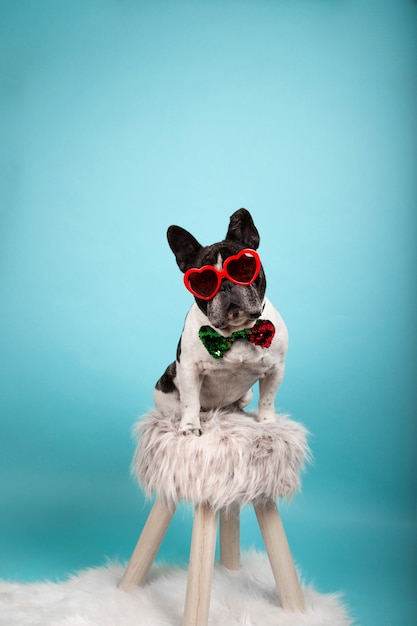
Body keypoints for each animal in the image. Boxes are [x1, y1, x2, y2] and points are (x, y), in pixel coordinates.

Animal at [154, 207, 288, 432]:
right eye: (202, 282)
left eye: (243, 268)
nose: (225, 284)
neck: (237, 330)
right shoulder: (189, 368)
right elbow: (190, 401)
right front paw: (189, 428)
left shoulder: (275, 369)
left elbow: (267, 399)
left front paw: (267, 423)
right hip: (166, 385)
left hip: (246, 395)